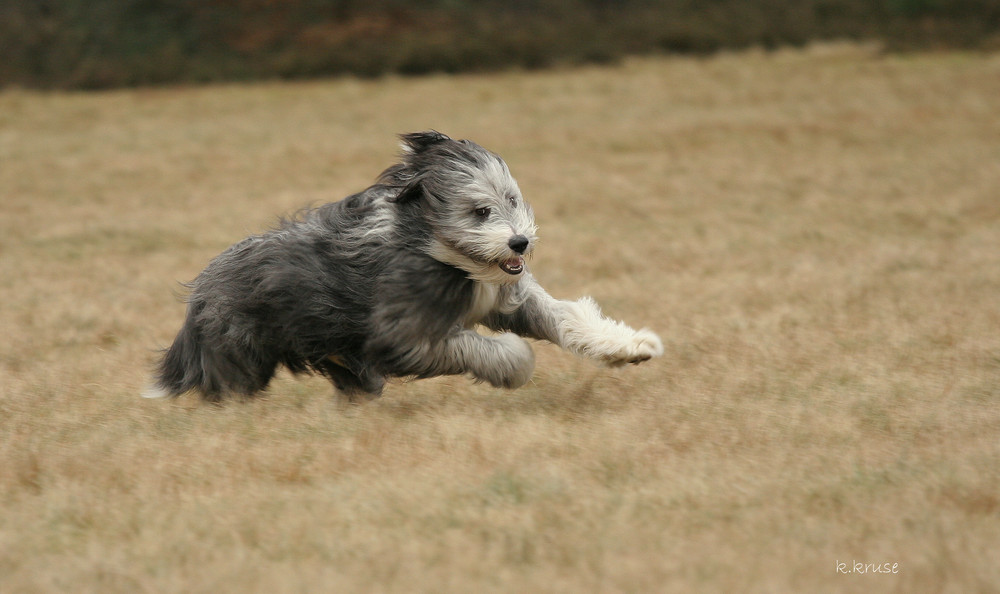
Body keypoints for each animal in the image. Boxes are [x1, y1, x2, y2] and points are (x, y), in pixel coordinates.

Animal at [145, 131, 660, 400]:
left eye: (511, 200)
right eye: (480, 211)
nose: (520, 241)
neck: (441, 252)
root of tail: (201, 288)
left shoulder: (511, 299)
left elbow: (565, 317)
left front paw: (630, 346)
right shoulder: (402, 334)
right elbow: (483, 349)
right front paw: (515, 364)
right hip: (238, 352)